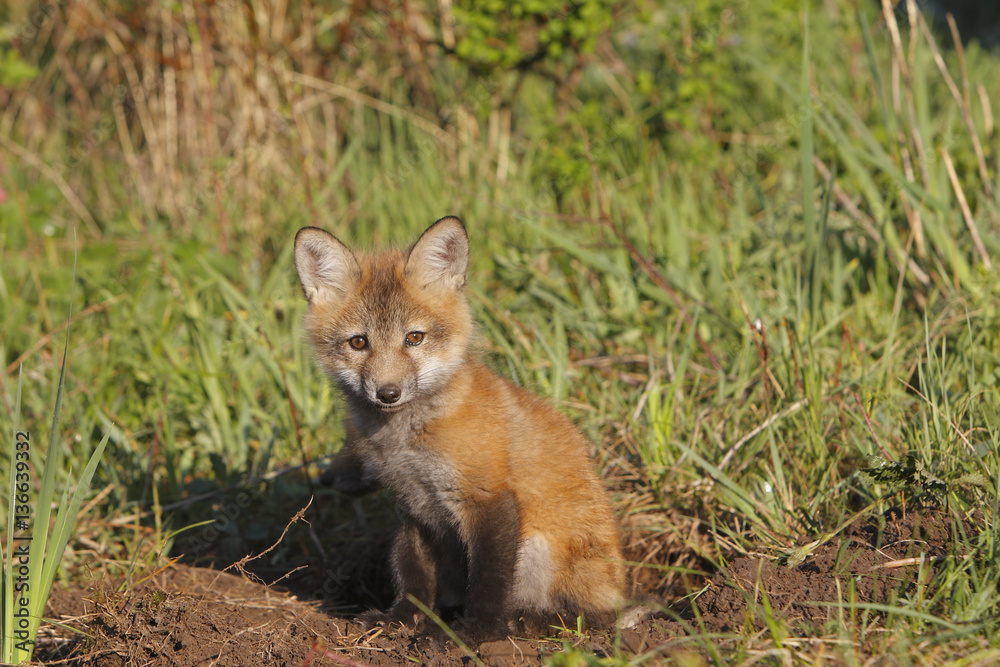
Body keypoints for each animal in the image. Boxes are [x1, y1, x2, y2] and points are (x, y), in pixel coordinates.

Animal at [294, 218, 624, 640]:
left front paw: (474, 633)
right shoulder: (414, 506)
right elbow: (412, 573)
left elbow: (488, 579)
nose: (388, 393)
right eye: (358, 342)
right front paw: (402, 617)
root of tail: (621, 592)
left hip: (537, 547)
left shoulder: (487, 497)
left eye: (414, 338)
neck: (406, 442)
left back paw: (528, 621)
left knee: (592, 618)